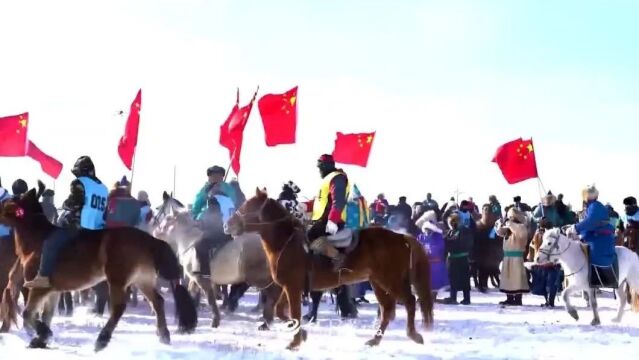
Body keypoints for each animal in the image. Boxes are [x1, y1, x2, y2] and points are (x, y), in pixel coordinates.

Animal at [0, 186, 198, 352]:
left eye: (7, 202)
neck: (38, 240)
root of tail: (150, 239)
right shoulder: (53, 290)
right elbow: (46, 314)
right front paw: (41, 339)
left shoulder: (39, 288)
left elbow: (28, 314)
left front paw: (43, 334)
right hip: (142, 280)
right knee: (157, 302)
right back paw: (164, 336)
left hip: (117, 280)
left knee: (119, 307)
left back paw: (102, 340)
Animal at [154, 193, 286, 330]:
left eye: (166, 216)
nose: (155, 232)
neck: (189, 242)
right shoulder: (194, 279)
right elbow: (192, 295)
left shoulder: (203, 280)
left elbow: (210, 299)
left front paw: (215, 321)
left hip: (258, 278)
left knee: (273, 293)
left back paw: (267, 321)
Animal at [225, 190, 436, 350]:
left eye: (249, 206)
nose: (228, 225)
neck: (287, 243)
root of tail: (401, 237)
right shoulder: (289, 287)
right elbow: (282, 312)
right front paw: (302, 334)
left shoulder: (293, 287)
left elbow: (294, 313)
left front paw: (295, 342)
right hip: (378, 282)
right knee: (388, 309)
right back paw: (375, 340)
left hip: (391, 280)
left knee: (409, 301)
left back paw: (413, 335)